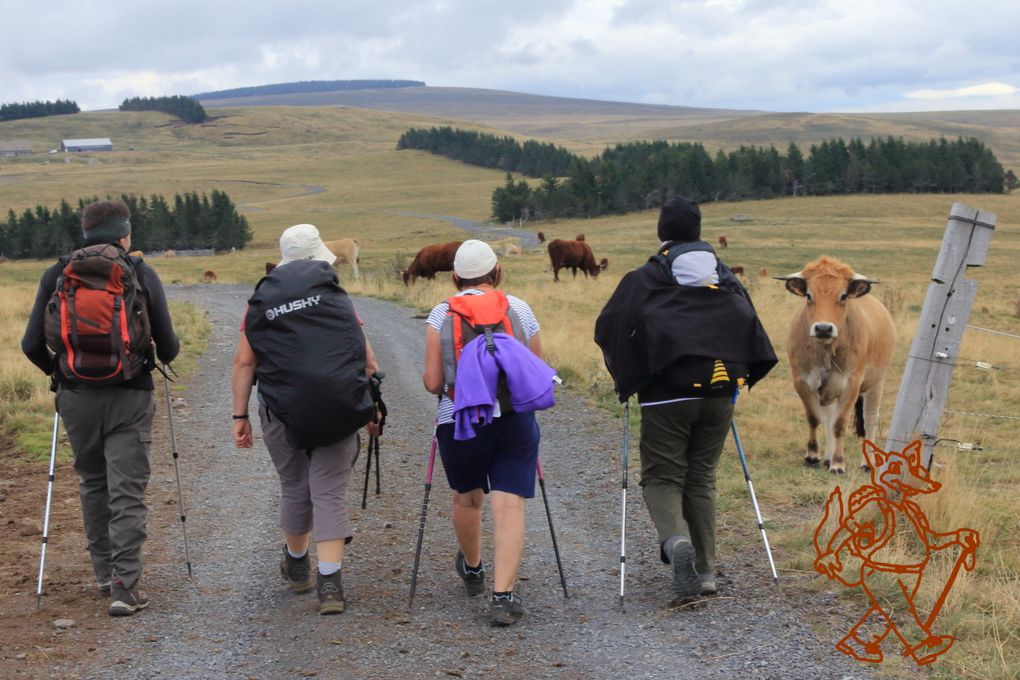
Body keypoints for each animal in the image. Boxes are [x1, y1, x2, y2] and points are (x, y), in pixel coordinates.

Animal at [775, 254, 897, 473]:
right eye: (808, 295)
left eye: (843, 296)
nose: (823, 328)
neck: (826, 349)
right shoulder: (802, 381)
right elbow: (815, 418)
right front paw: (813, 455)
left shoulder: (851, 384)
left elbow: (840, 424)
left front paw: (838, 463)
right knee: (828, 417)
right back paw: (827, 456)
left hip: (876, 383)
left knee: (871, 419)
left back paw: (865, 464)